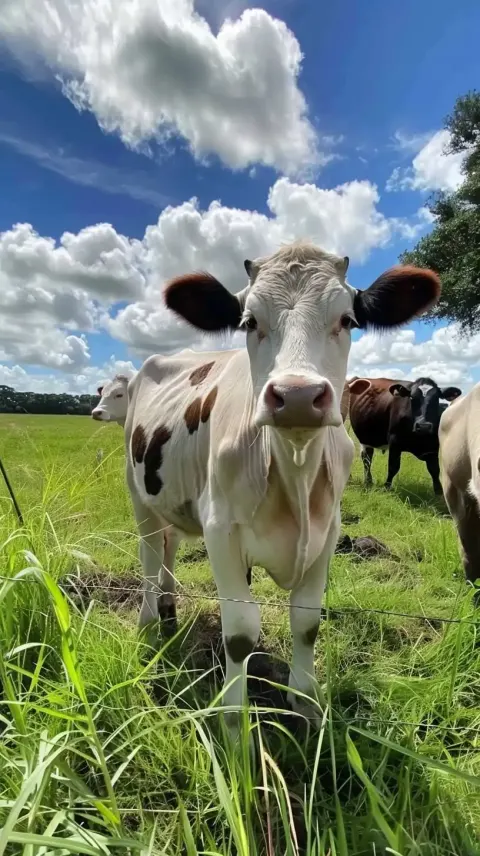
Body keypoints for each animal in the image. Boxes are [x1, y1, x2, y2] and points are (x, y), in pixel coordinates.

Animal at [124, 242, 440, 732]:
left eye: (348, 320)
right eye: (249, 321)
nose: (296, 396)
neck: (293, 475)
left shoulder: (328, 532)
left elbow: (307, 621)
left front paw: (305, 703)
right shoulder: (220, 530)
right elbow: (239, 631)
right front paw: (233, 720)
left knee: (170, 548)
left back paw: (170, 612)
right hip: (140, 494)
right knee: (149, 557)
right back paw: (148, 623)